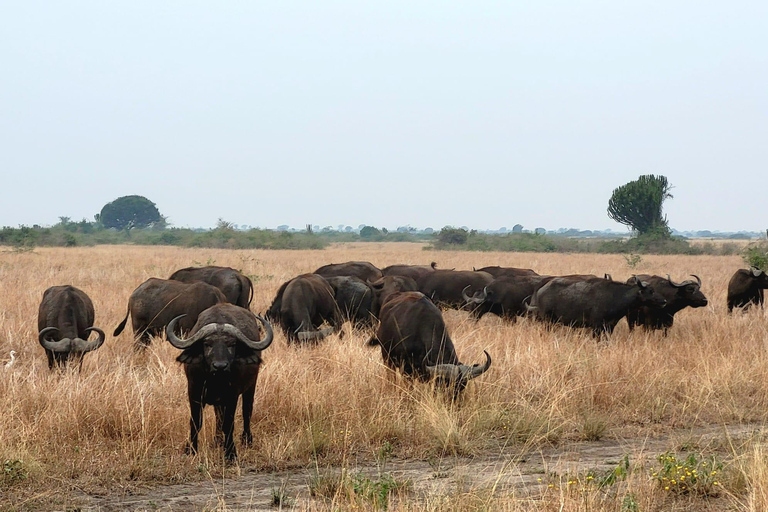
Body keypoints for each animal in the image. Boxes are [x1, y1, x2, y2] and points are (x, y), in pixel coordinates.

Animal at [166, 302, 274, 462]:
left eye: (232, 344)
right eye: (207, 343)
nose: (220, 366)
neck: (214, 379)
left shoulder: (232, 395)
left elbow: (228, 423)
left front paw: (230, 453)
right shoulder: (194, 391)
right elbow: (196, 421)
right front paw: (191, 449)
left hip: (251, 386)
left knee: (247, 411)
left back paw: (246, 440)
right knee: (218, 415)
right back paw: (217, 441)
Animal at [528, 276, 664, 336]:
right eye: (650, 291)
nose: (664, 301)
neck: (615, 297)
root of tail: (541, 290)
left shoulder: (610, 327)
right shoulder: (596, 327)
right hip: (548, 321)